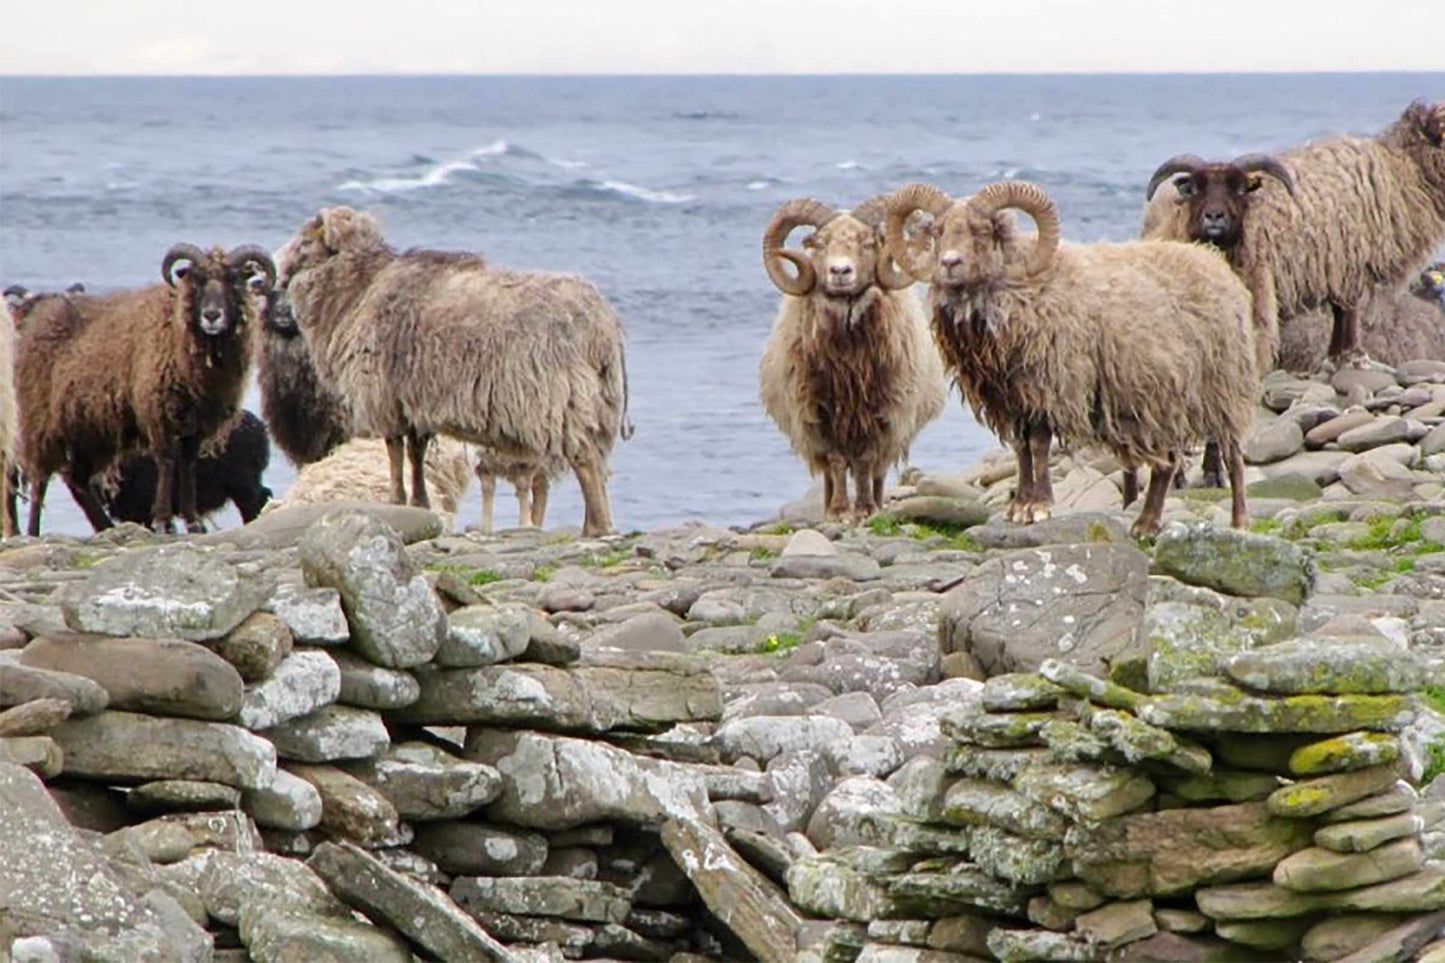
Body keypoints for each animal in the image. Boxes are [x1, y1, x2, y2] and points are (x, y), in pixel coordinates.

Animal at [274, 207, 630, 537]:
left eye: (305, 242)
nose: (276, 272)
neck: (359, 289)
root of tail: (602, 325)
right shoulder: (413, 401)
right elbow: (416, 455)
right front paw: (418, 503)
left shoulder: (383, 396)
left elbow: (394, 453)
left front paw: (394, 500)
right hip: (599, 401)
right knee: (599, 463)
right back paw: (595, 525)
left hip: (561, 399)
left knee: (586, 461)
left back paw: (597, 527)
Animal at [757, 194, 946, 521]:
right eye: (820, 243)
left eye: (869, 242)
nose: (840, 271)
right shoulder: (820, 416)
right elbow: (835, 461)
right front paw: (839, 510)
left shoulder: (882, 414)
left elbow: (865, 462)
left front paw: (865, 508)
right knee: (831, 474)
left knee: (877, 472)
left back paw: (877, 503)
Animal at [884, 180, 1259, 536]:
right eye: (937, 231)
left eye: (983, 231)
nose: (949, 264)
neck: (1021, 291)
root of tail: (1212, 263)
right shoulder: (1011, 397)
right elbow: (1020, 448)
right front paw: (1019, 506)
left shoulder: (1048, 386)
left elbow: (1038, 446)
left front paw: (1038, 506)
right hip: (1159, 401)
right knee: (1166, 461)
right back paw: (1146, 524)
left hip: (1223, 385)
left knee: (1233, 457)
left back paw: (1239, 521)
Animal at [1141, 99, 1445, 367]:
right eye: (1441, 128)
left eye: (1239, 188)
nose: (1214, 216)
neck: (1398, 168)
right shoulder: (1347, 263)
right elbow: (1347, 311)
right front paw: (1350, 355)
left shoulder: (1341, 265)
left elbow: (1343, 311)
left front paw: (1340, 355)